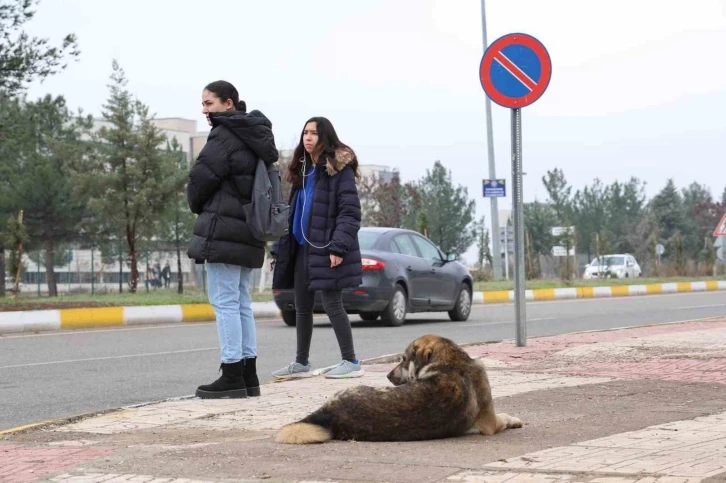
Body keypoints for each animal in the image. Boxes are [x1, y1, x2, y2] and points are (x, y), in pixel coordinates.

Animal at [274, 334, 524, 444]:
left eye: (403, 359)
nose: (387, 375)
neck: (448, 360)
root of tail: (330, 413)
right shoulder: (489, 423)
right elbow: (503, 416)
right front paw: (514, 419)